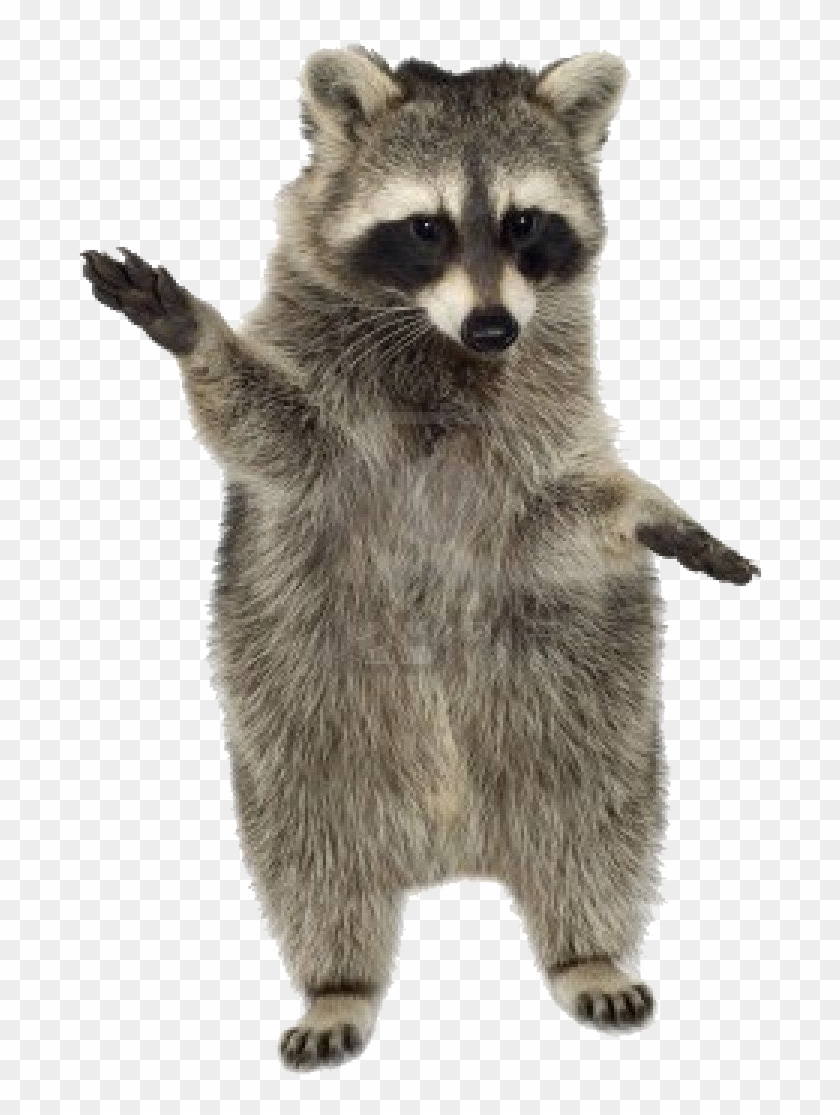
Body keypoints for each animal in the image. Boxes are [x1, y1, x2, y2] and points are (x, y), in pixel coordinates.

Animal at [82, 47, 759, 1071]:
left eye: (525, 223)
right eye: (426, 227)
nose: (494, 327)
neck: (439, 344)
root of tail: (456, 847)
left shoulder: (532, 441)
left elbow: (557, 516)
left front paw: (648, 506)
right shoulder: (329, 433)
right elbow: (269, 431)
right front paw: (196, 332)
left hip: (585, 690)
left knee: (595, 817)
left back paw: (587, 948)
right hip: (299, 700)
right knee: (314, 851)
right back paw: (340, 977)